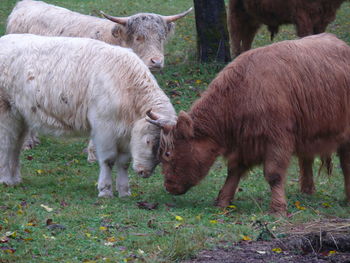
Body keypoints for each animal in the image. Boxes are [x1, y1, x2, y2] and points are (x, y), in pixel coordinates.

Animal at [0, 34, 176, 198]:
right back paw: (6, 179)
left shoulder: (125, 135)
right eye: (148, 141)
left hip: (20, 117)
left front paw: (124, 191)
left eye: (165, 150)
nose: (144, 172)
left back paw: (14, 179)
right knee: (7, 144)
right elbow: (108, 160)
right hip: (6, 112)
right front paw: (105, 190)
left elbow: (123, 163)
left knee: (15, 146)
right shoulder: (104, 129)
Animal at [147, 34, 350, 217]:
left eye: (167, 153)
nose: (168, 186)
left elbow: (273, 174)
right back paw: (308, 191)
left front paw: (278, 209)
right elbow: (233, 171)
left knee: (345, 161)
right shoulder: (243, 143)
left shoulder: (277, 139)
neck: (241, 94)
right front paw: (223, 201)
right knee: (307, 159)